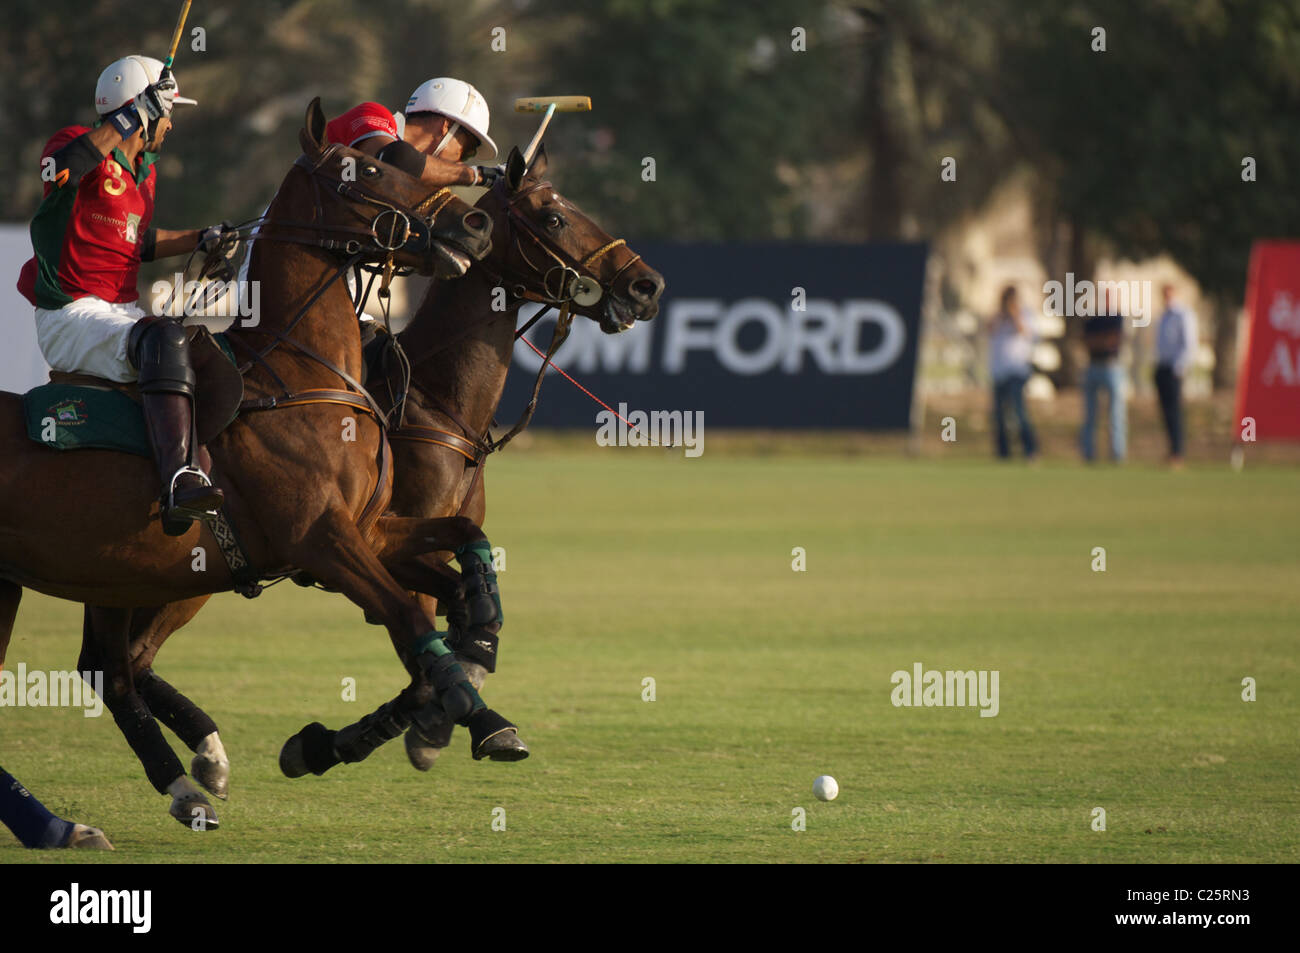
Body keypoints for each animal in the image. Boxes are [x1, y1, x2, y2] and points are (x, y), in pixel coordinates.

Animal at [3, 98, 527, 826]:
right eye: (367, 169)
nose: (473, 224)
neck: (307, 374)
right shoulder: (321, 540)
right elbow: (410, 619)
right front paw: (474, 717)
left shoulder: (366, 530)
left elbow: (465, 546)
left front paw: (478, 653)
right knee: (114, 665)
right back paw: (155, 792)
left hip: (106, 573)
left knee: (112, 665)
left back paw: (183, 779)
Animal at [68, 143, 660, 811]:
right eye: (553, 217)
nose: (647, 284)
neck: (437, 404)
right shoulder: (363, 547)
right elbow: (425, 641)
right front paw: (354, 741)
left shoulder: (392, 542)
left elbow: (457, 618)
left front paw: (418, 721)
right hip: (185, 572)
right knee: (122, 659)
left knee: (116, 660)